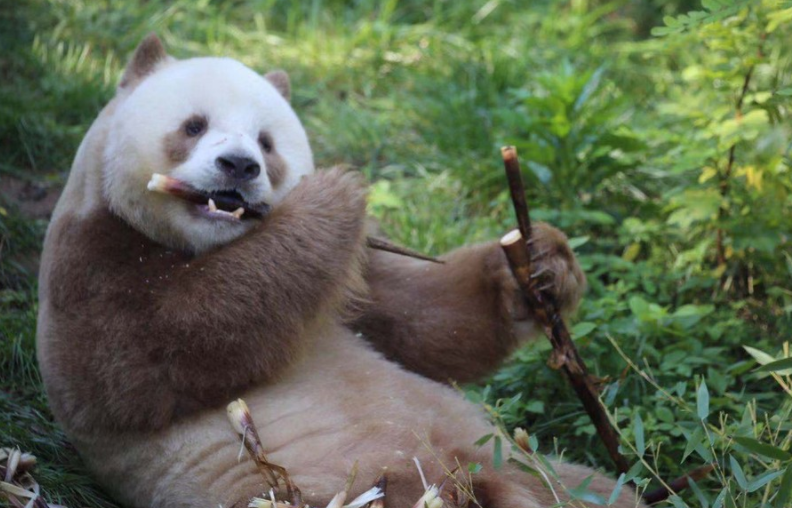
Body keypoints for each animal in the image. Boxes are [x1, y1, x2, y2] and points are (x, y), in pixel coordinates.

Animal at [35, 34, 644, 508]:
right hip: (334, 485)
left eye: (267, 143)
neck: (210, 246)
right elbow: (160, 349)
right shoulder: (89, 263)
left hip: (514, 458)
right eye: (193, 125)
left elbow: (423, 324)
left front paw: (540, 265)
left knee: (596, 488)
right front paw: (335, 198)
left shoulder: (352, 279)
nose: (239, 167)